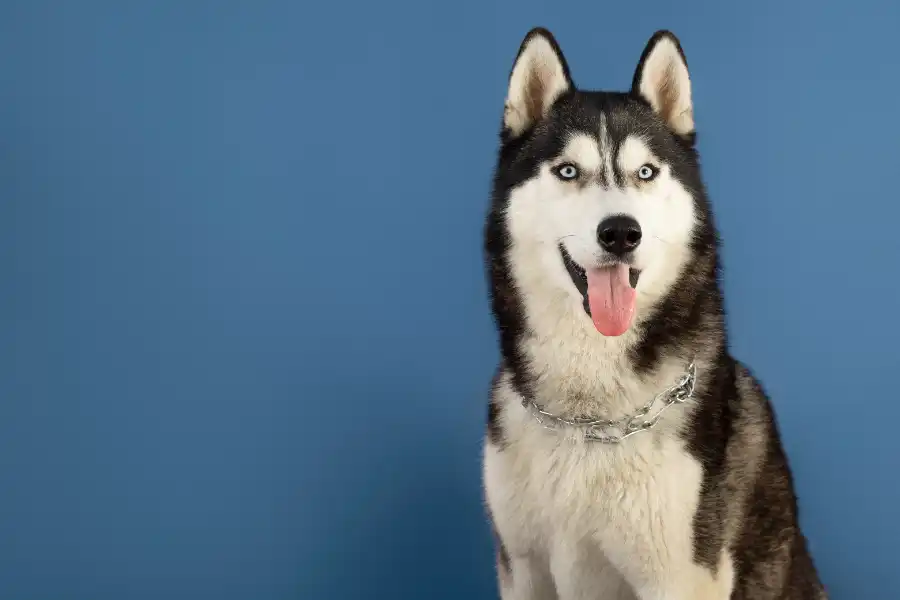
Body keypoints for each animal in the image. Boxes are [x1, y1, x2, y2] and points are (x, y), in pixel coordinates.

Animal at [482, 27, 828, 600]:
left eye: (645, 172)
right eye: (568, 171)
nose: (621, 232)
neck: (590, 418)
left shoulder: (679, 577)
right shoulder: (522, 568)